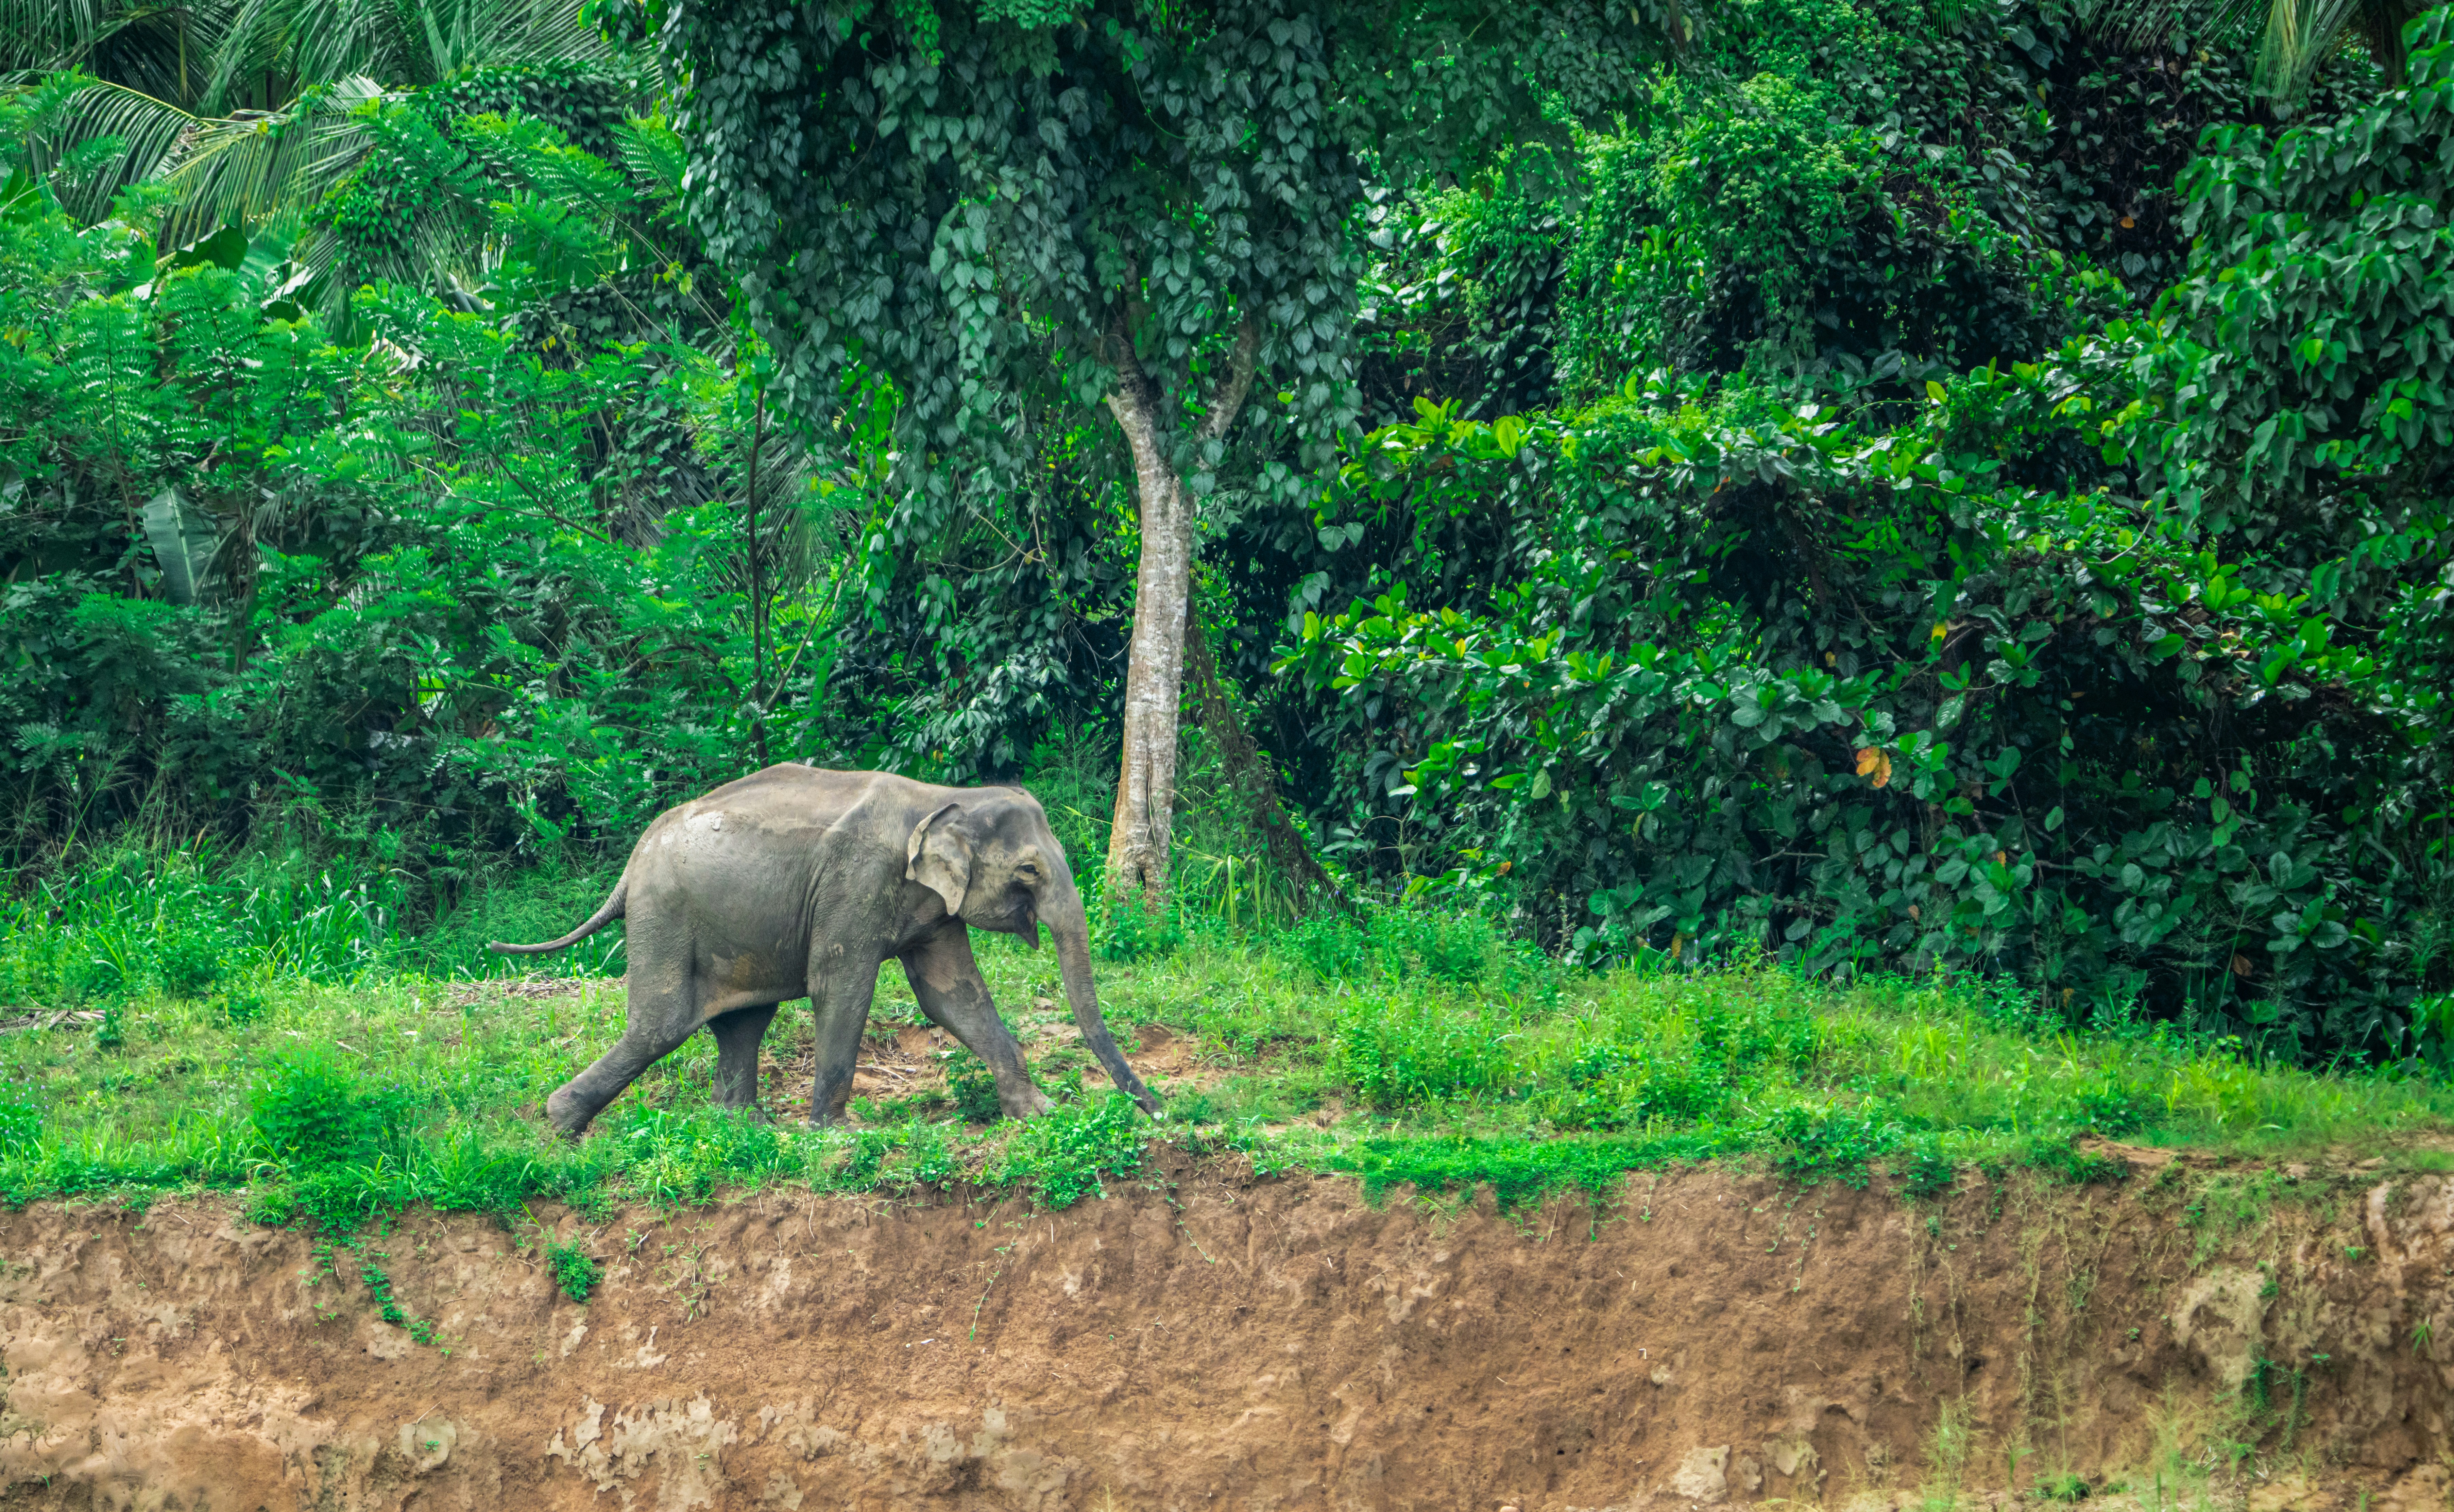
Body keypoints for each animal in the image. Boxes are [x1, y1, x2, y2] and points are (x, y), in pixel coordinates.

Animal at [488, 765, 1160, 1136]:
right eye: (1028, 870)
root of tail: (629, 869)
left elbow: (952, 997)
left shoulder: (931, 906)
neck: (943, 796)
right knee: (661, 1025)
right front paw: (836, 1132)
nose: (1158, 1110)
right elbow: (842, 985)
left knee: (742, 1021)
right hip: (666, 914)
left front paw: (1037, 1113)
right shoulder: (855, 881)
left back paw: (743, 1126)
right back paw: (562, 1122)